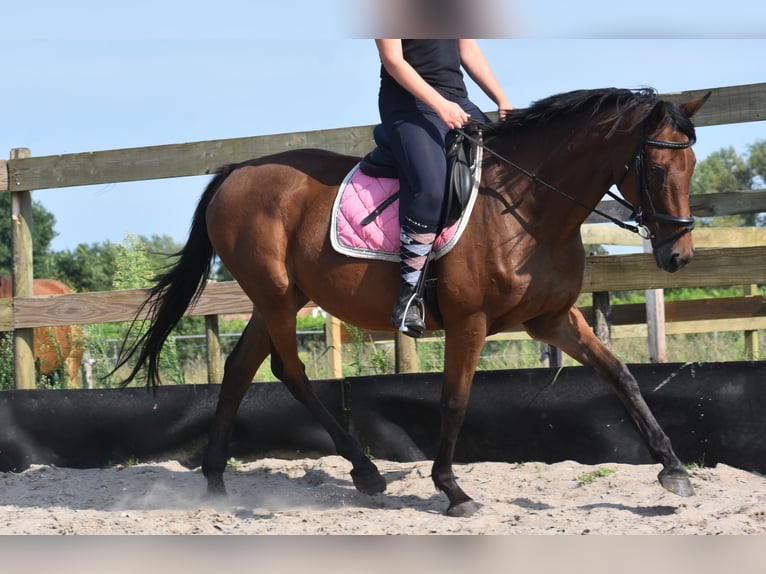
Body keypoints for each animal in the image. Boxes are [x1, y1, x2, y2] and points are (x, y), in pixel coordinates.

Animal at [118, 89, 712, 516]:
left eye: (692, 167)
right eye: (656, 170)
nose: (678, 256)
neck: (529, 208)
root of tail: (236, 172)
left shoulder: (552, 319)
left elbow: (621, 377)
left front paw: (674, 470)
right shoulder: (470, 322)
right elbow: (454, 401)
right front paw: (453, 491)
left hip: (279, 300)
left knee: (244, 368)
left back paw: (219, 478)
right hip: (276, 297)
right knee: (291, 371)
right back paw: (363, 471)